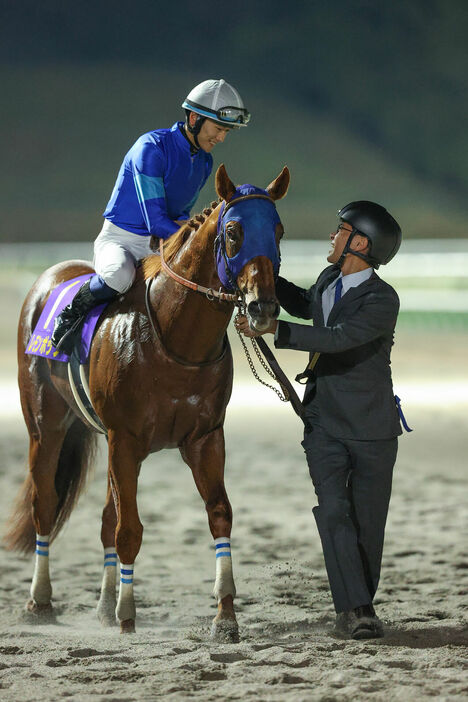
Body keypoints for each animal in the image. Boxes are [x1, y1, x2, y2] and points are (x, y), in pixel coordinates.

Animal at [5, 162, 288, 640]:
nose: (263, 309)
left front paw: (225, 615)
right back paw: (39, 603)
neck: (175, 339)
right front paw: (127, 616)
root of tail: (50, 277)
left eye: (279, 230)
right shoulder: (126, 440)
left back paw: (101, 605)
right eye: (233, 231)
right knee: (44, 506)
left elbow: (219, 514)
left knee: (104, 518)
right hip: (46, 426)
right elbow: (129, 531)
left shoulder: (205, 439)